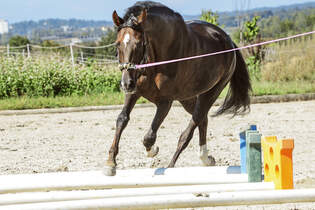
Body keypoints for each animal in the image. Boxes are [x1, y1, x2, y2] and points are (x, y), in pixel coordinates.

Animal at [103, 1, 252, 176]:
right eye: (117, 44)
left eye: (139, 44)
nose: (126, 84)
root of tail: (228, 40)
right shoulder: (134, 93)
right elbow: (122, 120)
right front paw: (110, 163)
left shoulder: (165, 102)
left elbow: (150, 136)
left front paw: (152, 150)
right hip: (187, 98)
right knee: (202, 120)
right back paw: (206, 158)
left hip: (210, 92)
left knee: (190, 129)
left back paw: (171, 166)